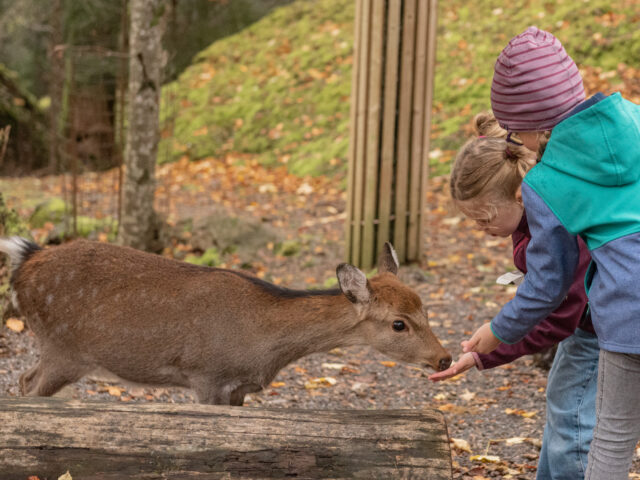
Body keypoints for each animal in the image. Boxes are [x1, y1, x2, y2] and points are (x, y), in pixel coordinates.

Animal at [0, 236, 452, 404]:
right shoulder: (207, 376)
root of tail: (25, 262)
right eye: (398, 323)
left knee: (22, 379)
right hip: (64, 348)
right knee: (29, 388)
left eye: (426, 310)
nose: (444, 358)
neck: (263, 346)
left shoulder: (239, 388)